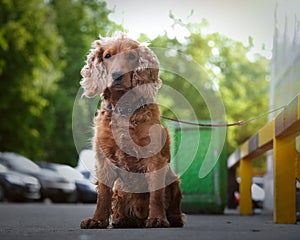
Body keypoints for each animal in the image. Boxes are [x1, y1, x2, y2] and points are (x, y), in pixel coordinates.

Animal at [79, 32, 183, 228]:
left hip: (173, 180)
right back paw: (122, 219)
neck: (124, 109)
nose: (117, 75)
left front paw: (157, 219)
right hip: (120, 189)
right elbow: (103, 195)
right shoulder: (104, 158)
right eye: (108, 56)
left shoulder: (153, 158)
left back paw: (173, 218)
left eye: (131, 56)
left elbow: (156, 195)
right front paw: (97, 220)